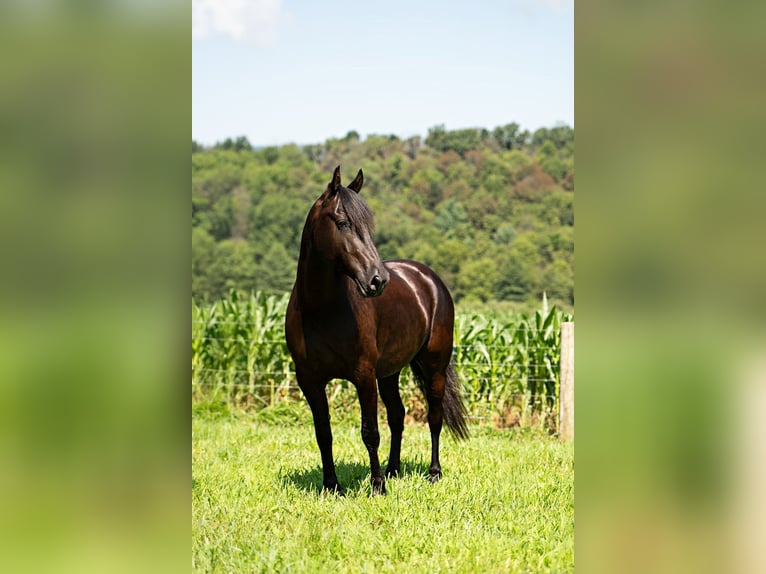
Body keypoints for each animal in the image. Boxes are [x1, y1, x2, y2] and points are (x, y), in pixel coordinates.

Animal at [285, 166, 468, 495]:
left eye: (368, 226)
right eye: (343, 222)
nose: (377, 280)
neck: (320, 310)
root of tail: (428, 278)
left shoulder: (363, 375)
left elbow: (370, 431)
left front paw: (377, 486)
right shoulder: (310, 380)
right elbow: (323, 433)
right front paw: (332, 486)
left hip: (434, 366)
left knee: (434, 417)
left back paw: (433, 473)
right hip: (390, 373)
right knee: (398, 415)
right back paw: (394, 469)